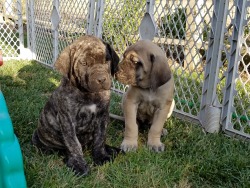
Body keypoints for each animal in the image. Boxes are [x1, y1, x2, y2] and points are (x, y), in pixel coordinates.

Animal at [31, 35, 121, 176]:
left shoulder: (103, 115)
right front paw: (78, 164)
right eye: (84, 63)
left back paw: (111, 150)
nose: (101, 79)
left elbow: (100, 137)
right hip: (37, 135)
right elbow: (73, 143)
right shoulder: (67, 119)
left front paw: (101, 156)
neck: (89, 93)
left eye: (107, 60)